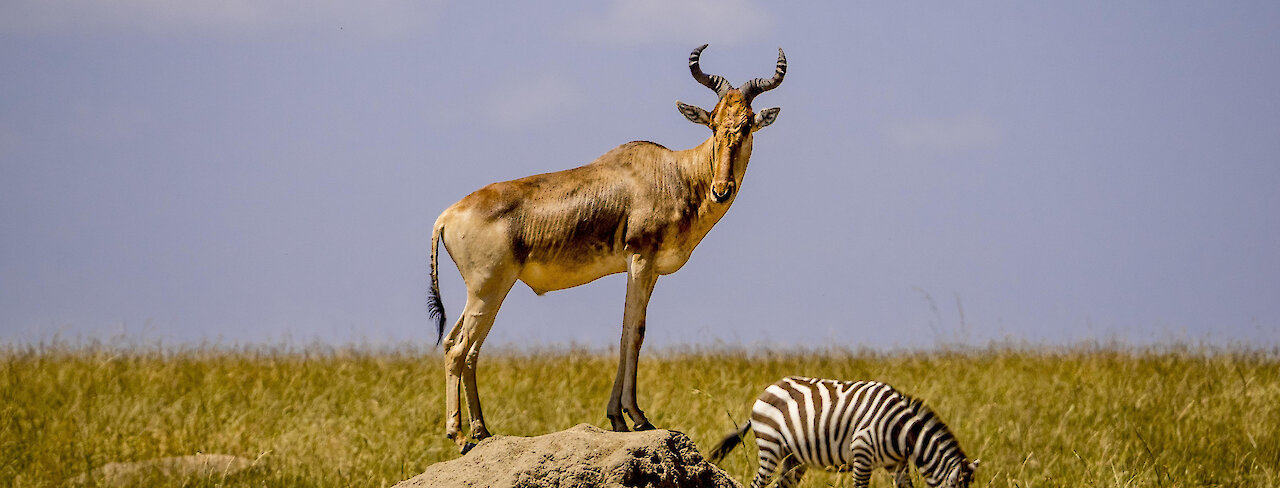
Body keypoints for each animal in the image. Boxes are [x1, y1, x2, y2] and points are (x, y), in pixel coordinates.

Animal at [711, 376, 977, 486]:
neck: (904, 433)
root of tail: (769, 388)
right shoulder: (862, 452)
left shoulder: (897, 465)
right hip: (770, 447)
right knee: (759, 483)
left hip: (794, 459)